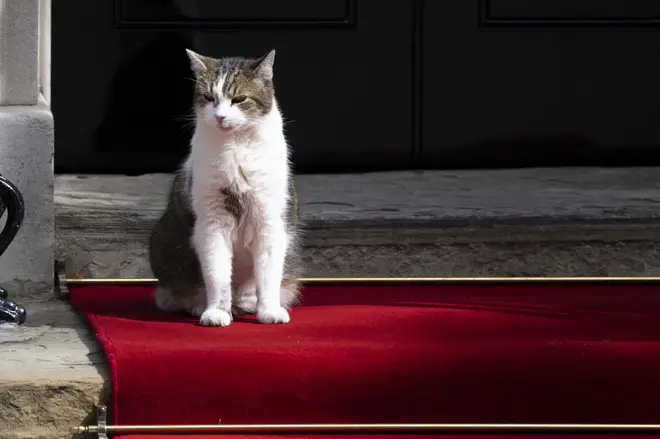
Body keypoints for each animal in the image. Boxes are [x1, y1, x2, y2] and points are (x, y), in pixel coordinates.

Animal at [149, 49, 302, 328]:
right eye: (209, 98)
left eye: (239, 98)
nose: (220, 116)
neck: (236, 145)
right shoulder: (212, 220)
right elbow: (217, 274)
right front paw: (216, 312)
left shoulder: (269, 220)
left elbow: (268, 274)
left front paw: (269, 311)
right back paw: (201, 305)